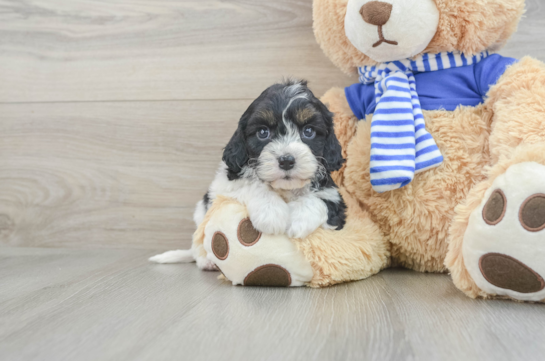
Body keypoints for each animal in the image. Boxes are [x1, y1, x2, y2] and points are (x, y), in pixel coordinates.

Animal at [149, 79, 344, 268]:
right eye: (263, 132)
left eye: (308, 131)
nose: (286, 160)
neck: (284, 188)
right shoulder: (225, 185)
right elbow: (251, 184)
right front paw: (271, 212)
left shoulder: (335, 200)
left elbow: (321, 200)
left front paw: (298, 219)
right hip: (201, 211)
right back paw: (207, 261)